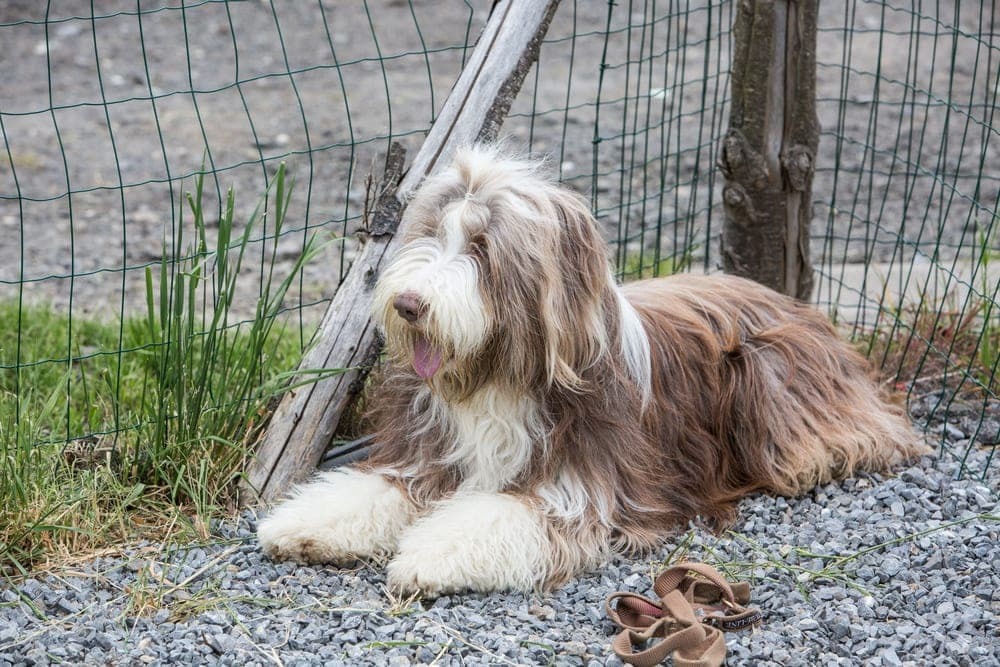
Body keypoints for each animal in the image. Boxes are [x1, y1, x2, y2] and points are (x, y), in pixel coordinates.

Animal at [256, 146, 920, 596]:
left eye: (482, 249)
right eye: (428, 234)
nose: (408, 304)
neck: (498, 379)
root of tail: (790, 300)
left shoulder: (585, 486)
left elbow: (499, 515)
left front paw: (427, 556)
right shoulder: (428, 456)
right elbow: (376, 488)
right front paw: (300, 524)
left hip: (771, 387)